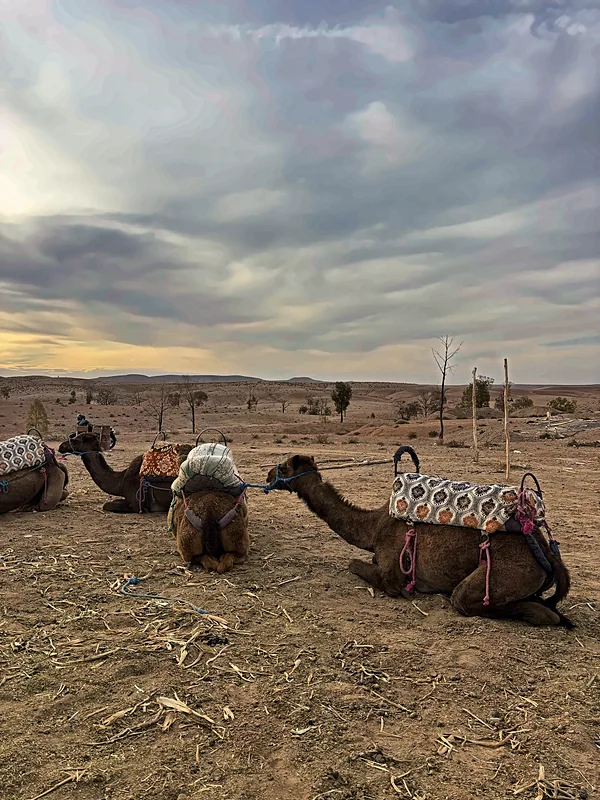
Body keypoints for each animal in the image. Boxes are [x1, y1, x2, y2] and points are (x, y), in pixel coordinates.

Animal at [266, 454, 573, 628]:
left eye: (283, 467)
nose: (268, 474)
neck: (374, 526)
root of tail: (547, 552)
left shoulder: (391, 573)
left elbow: (354, 565)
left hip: (505, 573)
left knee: (466, 598)